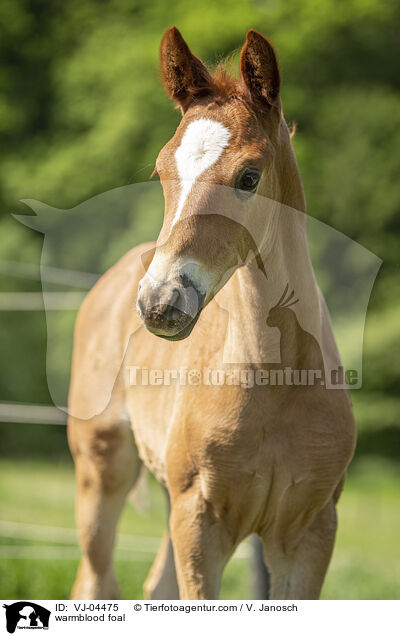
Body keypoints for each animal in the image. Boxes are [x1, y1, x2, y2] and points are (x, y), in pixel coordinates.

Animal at [68, 27, 356, 600]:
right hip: (101, 470)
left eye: (249, 177)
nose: (160, 302)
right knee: (95, 580)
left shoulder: (311, 531)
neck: (276, 378)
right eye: (160, 171)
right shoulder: (200, 520)